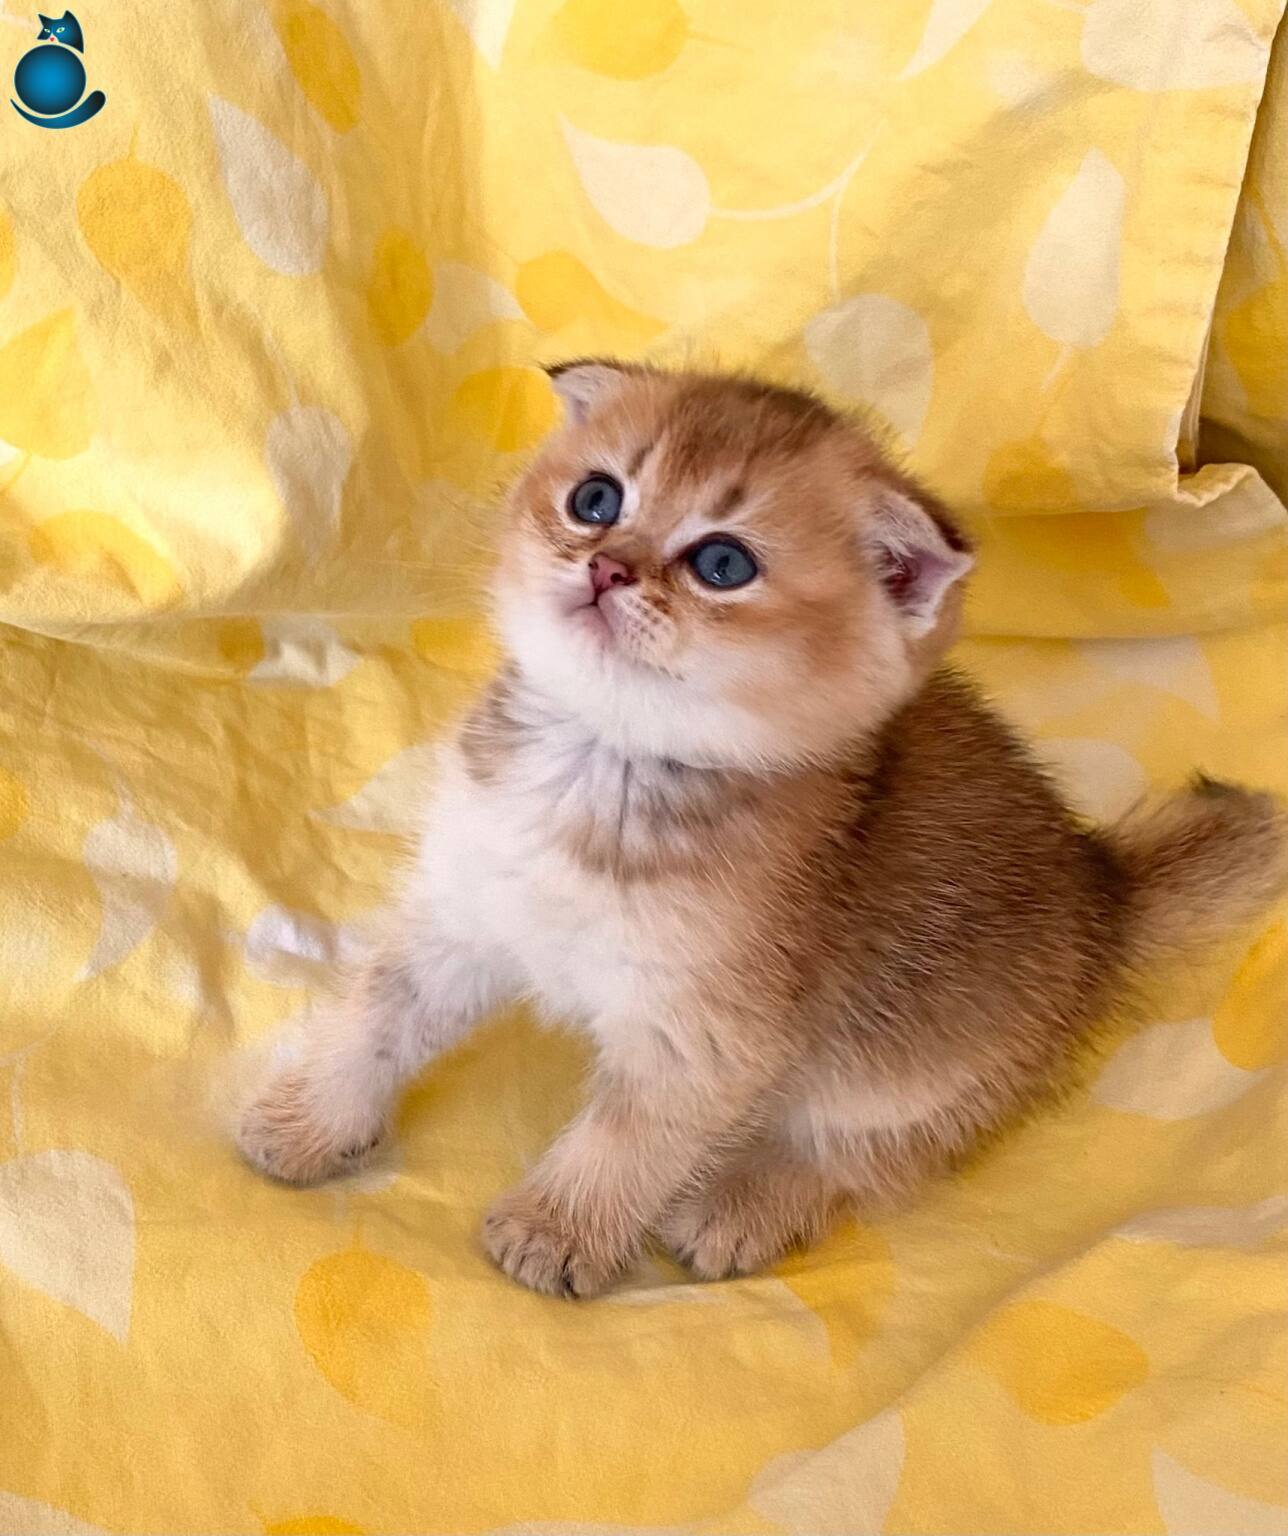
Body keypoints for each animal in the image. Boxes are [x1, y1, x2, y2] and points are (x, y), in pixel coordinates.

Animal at [237, 361, 1288, 1297]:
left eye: (723, 564)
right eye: (595, 498)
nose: (607, 565)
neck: (599, 768)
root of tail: (1103, 889)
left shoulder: (703, 1037)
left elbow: (628, 1139)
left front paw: (557, 1231)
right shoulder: (463, 912)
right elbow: (378, 1017)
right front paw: (307, 1122)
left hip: (915, 1063)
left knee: (868, 1154)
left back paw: (743, 1207)